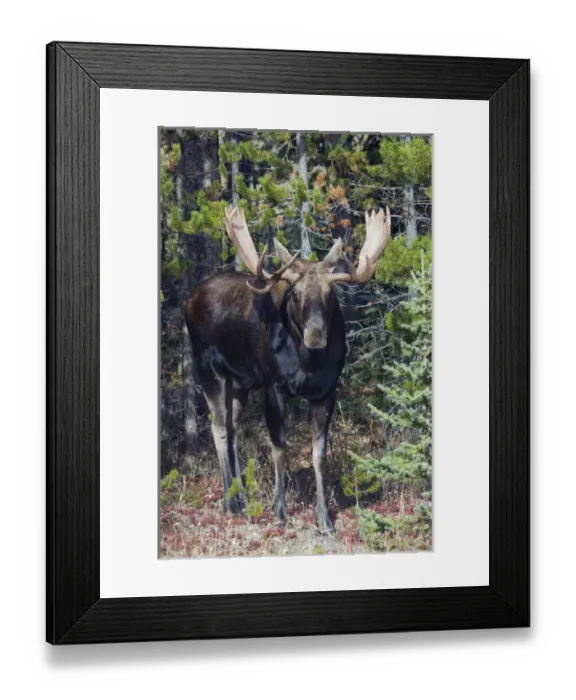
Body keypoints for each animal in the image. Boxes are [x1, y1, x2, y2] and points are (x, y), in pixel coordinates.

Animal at [185, 205, 391, 532]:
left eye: (330, 293)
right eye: (296, 294)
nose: (316, 335)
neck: (307, 363)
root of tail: (189, 301)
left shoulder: (326, 391)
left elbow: (319, 454)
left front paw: (324, 519)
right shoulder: (273, 386)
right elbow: (280, 448)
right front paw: (280, 512)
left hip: (240, 383)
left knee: (231, 428)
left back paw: (243, 498)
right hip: (208, 370)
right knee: (217, 427)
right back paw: (229, 503)